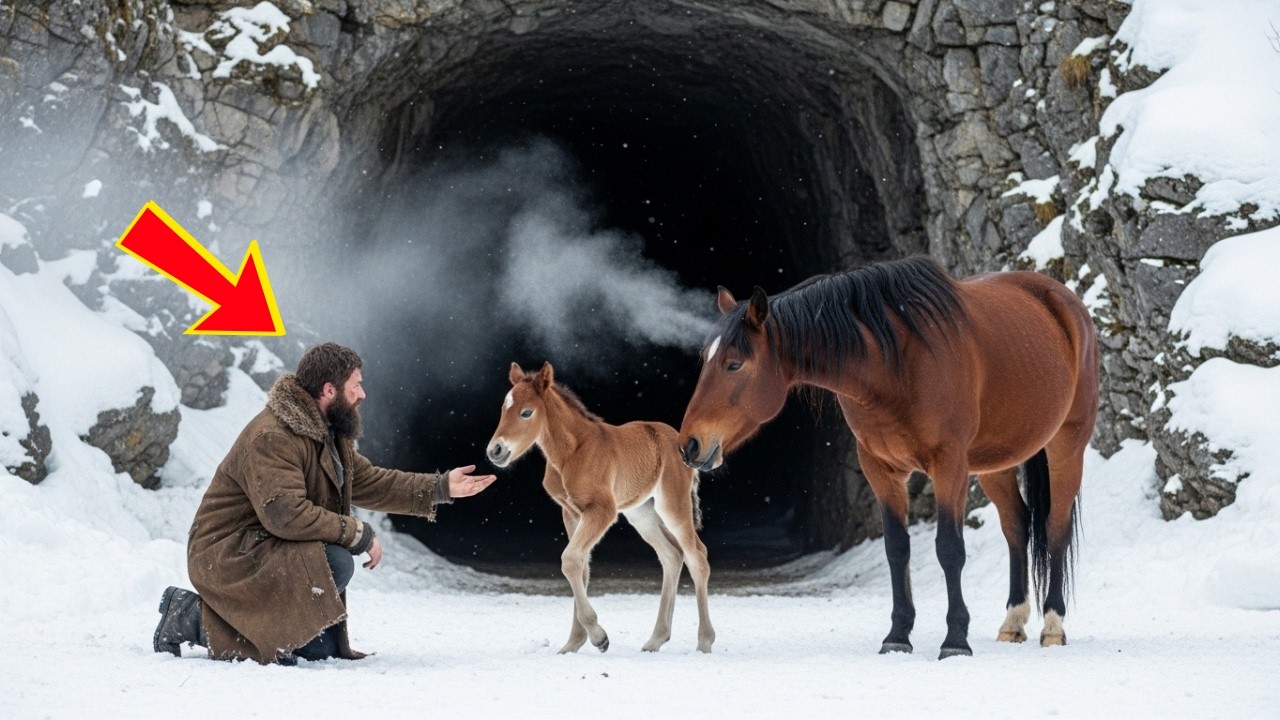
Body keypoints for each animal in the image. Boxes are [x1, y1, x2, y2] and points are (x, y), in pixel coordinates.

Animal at [486, 361, 716, 654]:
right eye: (503, 409)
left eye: (527, 413)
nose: (495, 451)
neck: (571, 453)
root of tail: (682, 445)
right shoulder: (571, 513)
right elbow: (581, 566)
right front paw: (572, 645)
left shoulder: (601, 510)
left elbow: (570, 560)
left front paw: (599, 637)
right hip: (642, 513)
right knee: (672, 555)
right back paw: (656, 639)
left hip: (672, 504)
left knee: (697, 556)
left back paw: (704, 642)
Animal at [677, 255, 1098, 659]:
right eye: (705, 360)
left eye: (734, 364)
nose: (690, 445)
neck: (896, 364)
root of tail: (1064, 300)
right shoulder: (881, 469)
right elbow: (897, 548)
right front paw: (897, 636)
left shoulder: (949, 465)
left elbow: (949, 548)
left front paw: (955, 640)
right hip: (996, 463)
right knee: (1017, 525)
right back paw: (1013, 622)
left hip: (1066, 446)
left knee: (1054, 528)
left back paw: (1053, 626)